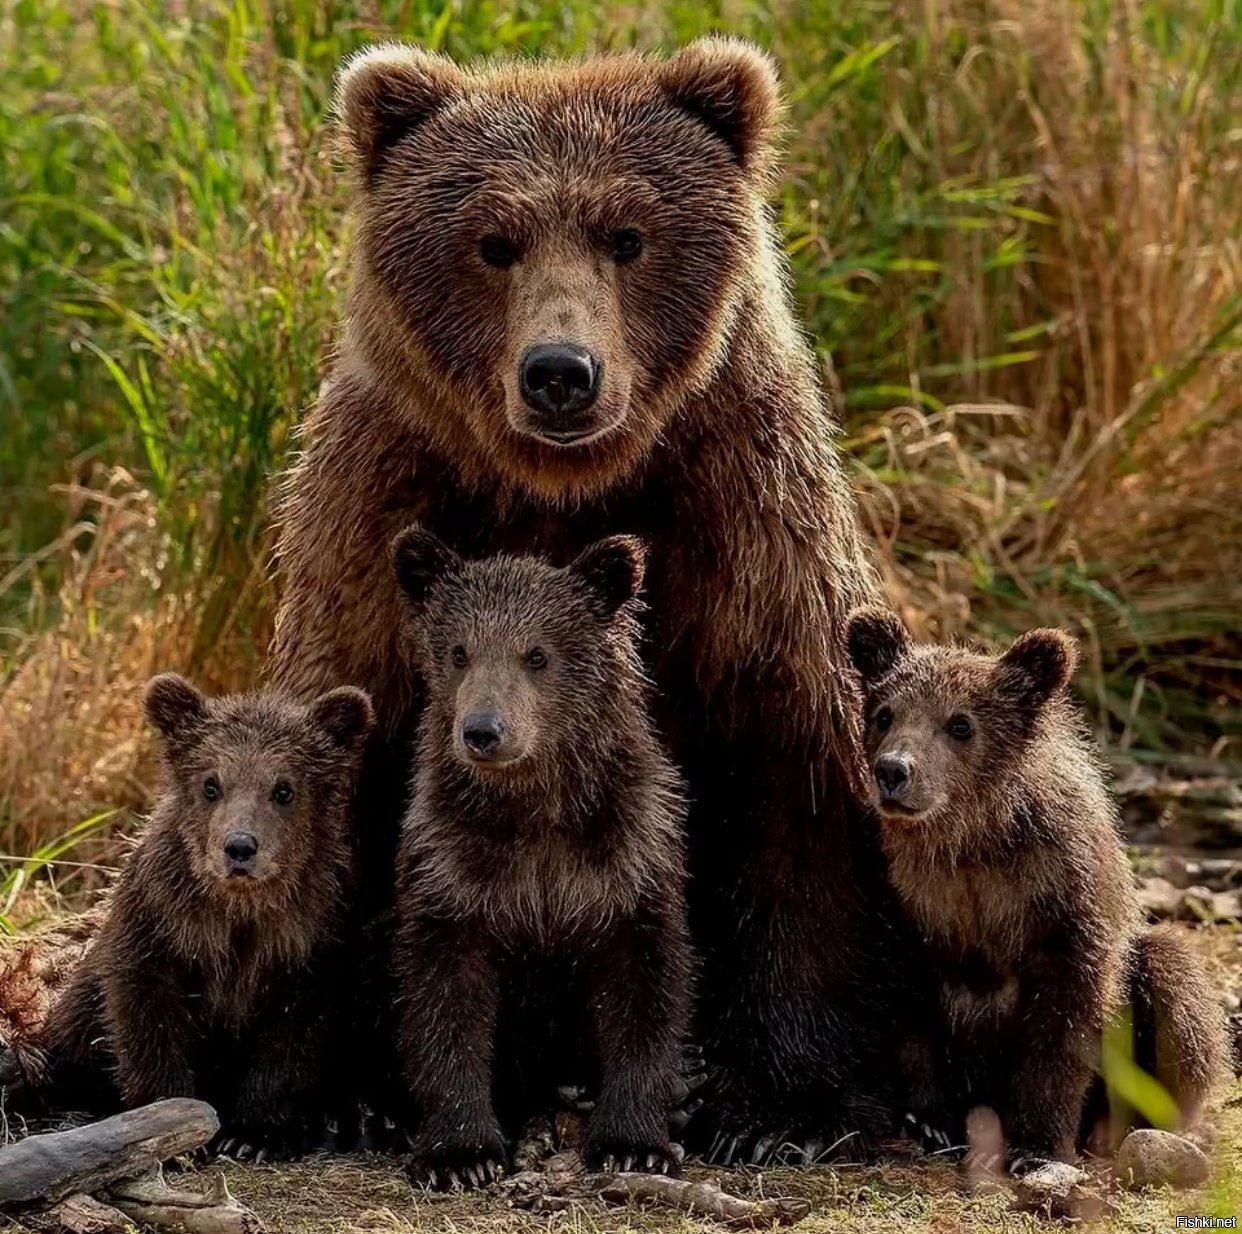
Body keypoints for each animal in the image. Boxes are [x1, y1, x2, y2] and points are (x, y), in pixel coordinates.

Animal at [27, 675, 367, 1152]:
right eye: (211, 784)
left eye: (284, 789)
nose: (240, 847)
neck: (236, 911)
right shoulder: (157, 926)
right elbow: (146, 1021)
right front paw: (173, 1122)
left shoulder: (309, 939)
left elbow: (292, 1035)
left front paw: (254, 1133)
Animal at [389, 528, 690, 1181]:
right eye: (460, 652)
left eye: (537, 655)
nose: (483, 730)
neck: (536, 815)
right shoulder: (452, 869)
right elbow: (444, 1000)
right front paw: (461, 1154)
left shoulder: (627, 862)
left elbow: (645, 991)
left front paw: (634, 1143)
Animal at [844, 608, 1232, 1161]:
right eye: (885, 714)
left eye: (960, 723)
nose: (893, 772)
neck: (972, 841)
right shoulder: (906, 901)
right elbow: (907, 1011)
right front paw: (931, 1119)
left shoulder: (1062, 900)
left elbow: (1066, 1022)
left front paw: (1039, 1139)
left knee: (1174, 985)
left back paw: (1121, 1125)